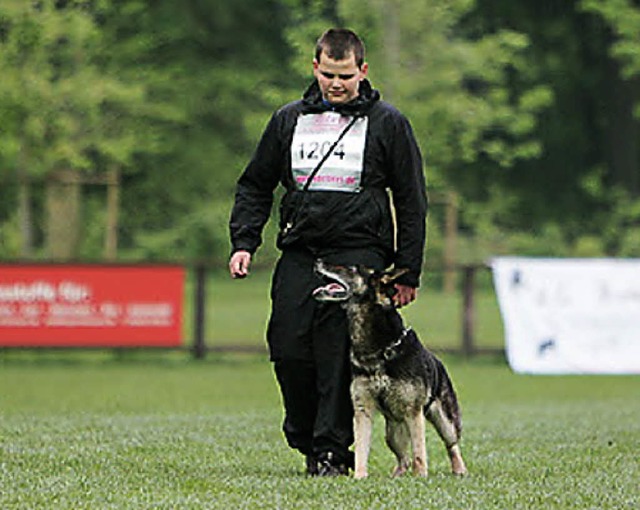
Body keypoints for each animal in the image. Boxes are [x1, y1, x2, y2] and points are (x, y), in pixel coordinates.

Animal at [312, 260, 468, 480]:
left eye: (351, 268)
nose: (318, 261)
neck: (379, 350)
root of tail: (438, 361)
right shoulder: (363, 411)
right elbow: (361, 449)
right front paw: (359, 477)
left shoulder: (414, 413)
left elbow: (419, 452)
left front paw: (420, 477)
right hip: (392, 433)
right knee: (404, 458)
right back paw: (397, 476)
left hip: (444, 422)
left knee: (451, 445)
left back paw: (459, 470)